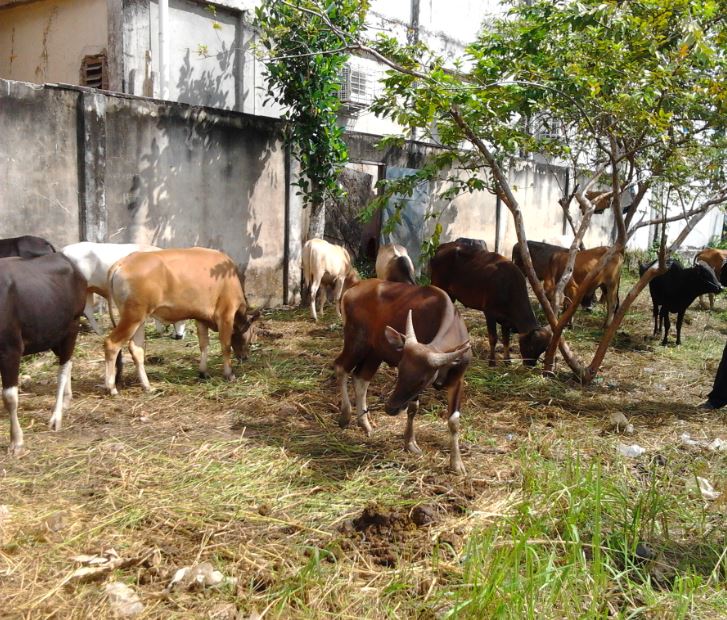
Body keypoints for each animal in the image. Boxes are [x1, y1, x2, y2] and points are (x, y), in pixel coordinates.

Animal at [0, 253, 86, 456]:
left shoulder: (10, 349)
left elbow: (10, 397)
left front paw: (16, 441)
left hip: (72, 327)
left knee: (63, 369)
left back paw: (56, 417)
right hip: (52, 336)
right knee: (69, 363)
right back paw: (66, 399)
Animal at [104, 246, 258, 394]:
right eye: (251, 340)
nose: (245, 357)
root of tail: (122, 263)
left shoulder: (201, 318)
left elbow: (204, 345)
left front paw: (203, 372)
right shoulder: (226, 314)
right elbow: (225, 346)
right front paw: (229, 374)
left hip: (139, 320)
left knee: (137, 349)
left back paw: (148, 387)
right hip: (133, 317)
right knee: (112, 344)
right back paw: (111, 387)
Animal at [336, 280, 472, 474]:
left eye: (423, 379)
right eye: (400, 369)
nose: (390, 408)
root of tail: (353, 288)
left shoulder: (457, 380)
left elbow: (453, 421)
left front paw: (457, 464)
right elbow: (413, 408)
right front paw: (410, 443)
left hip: (375, 352)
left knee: (361, 378)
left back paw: (366, 425)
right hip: (356, 341)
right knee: (341, 367)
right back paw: (345, 416)